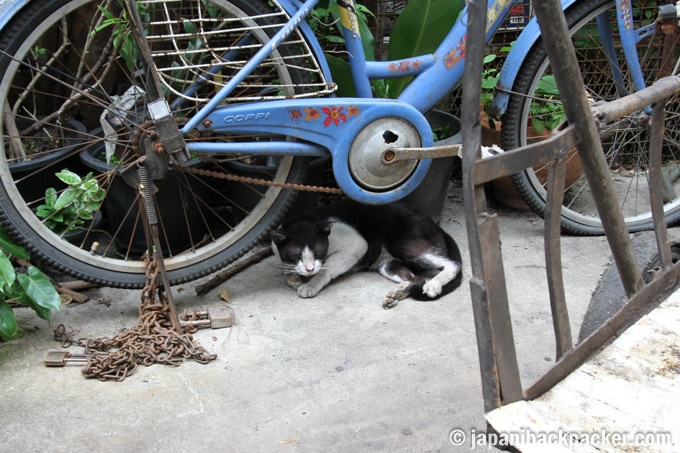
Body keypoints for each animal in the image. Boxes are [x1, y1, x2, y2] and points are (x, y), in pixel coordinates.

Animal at [270, 200, 462, 308]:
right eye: (297, 256)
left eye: (318, 252)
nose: (310, 269)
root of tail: (434, 224)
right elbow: (287, 271)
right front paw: (294, 278)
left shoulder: (355, 244)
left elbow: (326, 269)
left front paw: (310, 285)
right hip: (387, 264)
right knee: (417, 278)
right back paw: (397, 293)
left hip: (402, 244)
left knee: (453, 264)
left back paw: (433, 285)